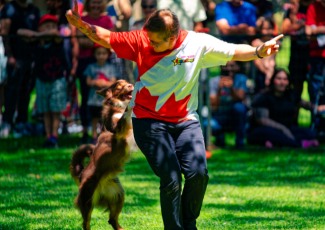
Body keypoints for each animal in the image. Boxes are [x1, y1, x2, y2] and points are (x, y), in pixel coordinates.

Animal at [69, 79, 133, 230]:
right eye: (119, 86)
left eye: (127, 82)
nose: (131, 85)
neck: (119, 104)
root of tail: (81, 174)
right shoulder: (117, 128)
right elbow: (124, 116)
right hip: (87, 200)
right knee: (86, 223)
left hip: (118, 195)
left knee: (112, 220)